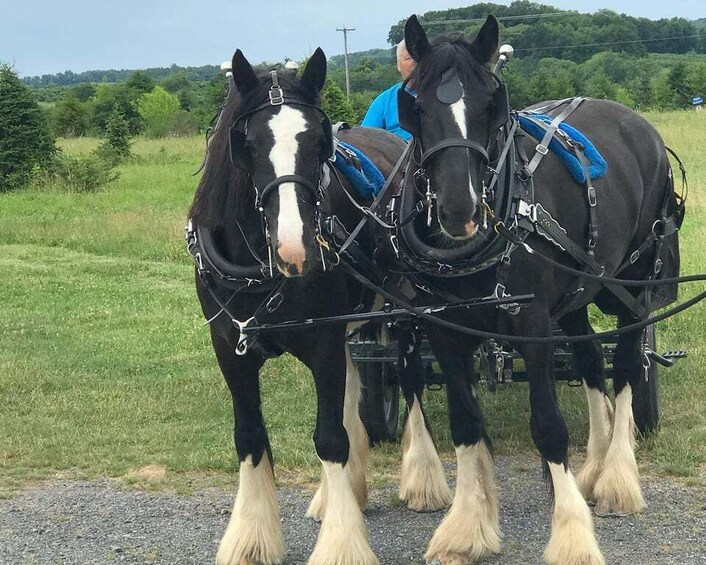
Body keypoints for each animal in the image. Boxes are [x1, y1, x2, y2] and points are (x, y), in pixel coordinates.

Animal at [188, 49, 402, 564]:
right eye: (246, 143)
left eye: (319, 142)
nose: (295, 249)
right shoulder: (229, 347)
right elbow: (249, 437)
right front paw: (250, 537)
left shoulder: (322, 340)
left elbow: (329, 438)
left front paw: (342, 544)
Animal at [382, 13, 680, 564]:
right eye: (416, 107)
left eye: (490, 104)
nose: (459, 209)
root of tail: (637, 123)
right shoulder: (444, 328)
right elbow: (465, 423)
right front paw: (467, 526)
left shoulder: (533, 323)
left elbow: (548, 425)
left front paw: (572, 536)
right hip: (578, 294)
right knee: (589, 360)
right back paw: (595, 464)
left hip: (631, 286)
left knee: (628, 364)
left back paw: (617, 478)